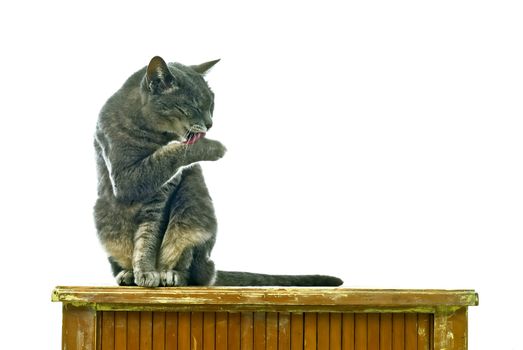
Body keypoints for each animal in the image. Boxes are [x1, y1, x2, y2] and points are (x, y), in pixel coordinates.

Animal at [93, 56, 344, 288]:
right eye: (195, 106)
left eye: (212, 105)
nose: (210, 123)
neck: (153, 133)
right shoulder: (125, 178)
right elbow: (169, 153)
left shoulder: (164, 193)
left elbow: (149, 236)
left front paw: (148, 272)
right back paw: (128, 275)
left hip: (194, 209)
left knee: (193, 270)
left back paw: (170, 275)